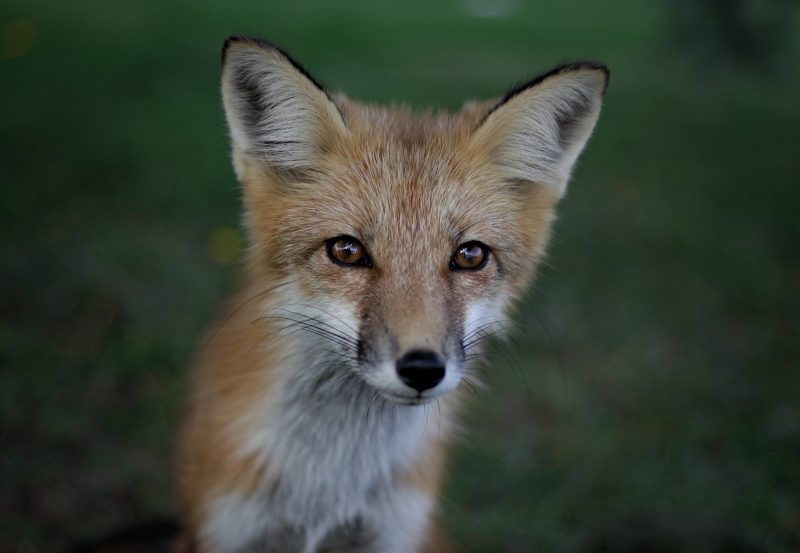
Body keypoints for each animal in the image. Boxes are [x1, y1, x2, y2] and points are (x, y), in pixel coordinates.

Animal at [174, 36, 608, 553]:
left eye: (469, 256)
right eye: (346, 250)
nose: (422, 369)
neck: (326, 492)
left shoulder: (393, 533)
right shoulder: (226, 528)